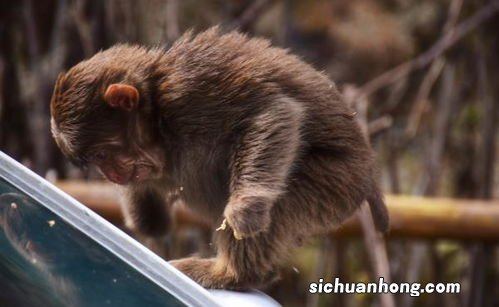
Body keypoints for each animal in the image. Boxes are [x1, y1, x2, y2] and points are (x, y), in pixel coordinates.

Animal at [50, 27, 388, 290]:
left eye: (102, 154)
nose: (112, 175)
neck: (159, 116)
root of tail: (369, 174)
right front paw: (146, 217)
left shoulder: (191, 93)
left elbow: (273, 112)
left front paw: (246, 207)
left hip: (338, 183)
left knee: (285, 199)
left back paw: (234, 274)